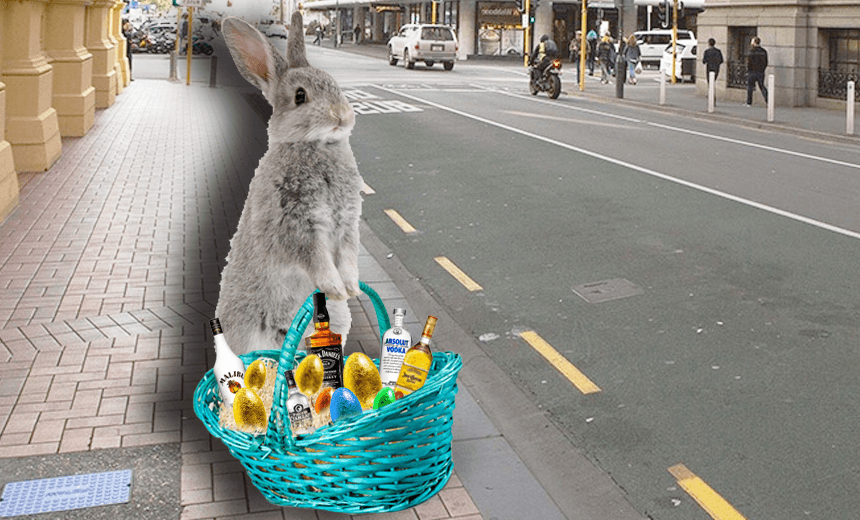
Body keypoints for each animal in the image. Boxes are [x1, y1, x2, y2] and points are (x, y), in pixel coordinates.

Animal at [215, 11, 362, 356]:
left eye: (334, 83)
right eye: (300, 96)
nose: (341, 114)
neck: (317, 146)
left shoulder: (348, 226)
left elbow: (349, 257)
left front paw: (352, 288)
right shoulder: (296, 227)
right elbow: (317, 260)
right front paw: (336, 288)